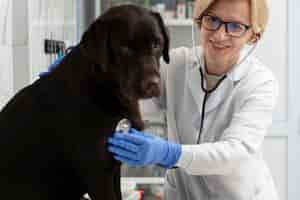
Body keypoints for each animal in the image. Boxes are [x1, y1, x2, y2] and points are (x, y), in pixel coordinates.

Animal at [0, 5, 169, 200]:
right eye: (125, 47)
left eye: (156, 44)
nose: (152, 84)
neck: (103, 87)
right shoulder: (97, 172)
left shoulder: (113, 167)